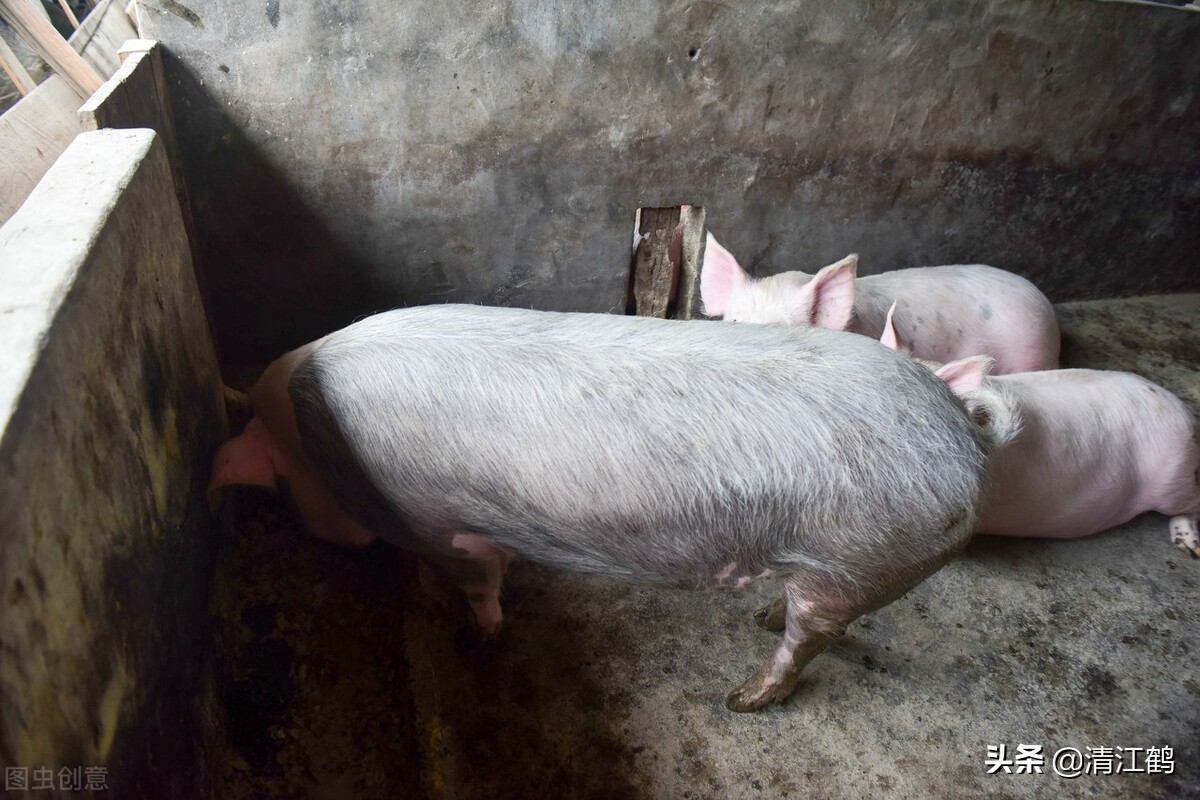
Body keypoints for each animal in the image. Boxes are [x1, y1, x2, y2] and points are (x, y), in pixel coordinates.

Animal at [211, 303, 1008, 710]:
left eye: (285, 494)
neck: (299, 434)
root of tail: (963, 431)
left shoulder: (437, 527)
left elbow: (479, 581)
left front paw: (482, 638)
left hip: (858, 559)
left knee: (808, 637)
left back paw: (740, 699)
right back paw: (756, 618)